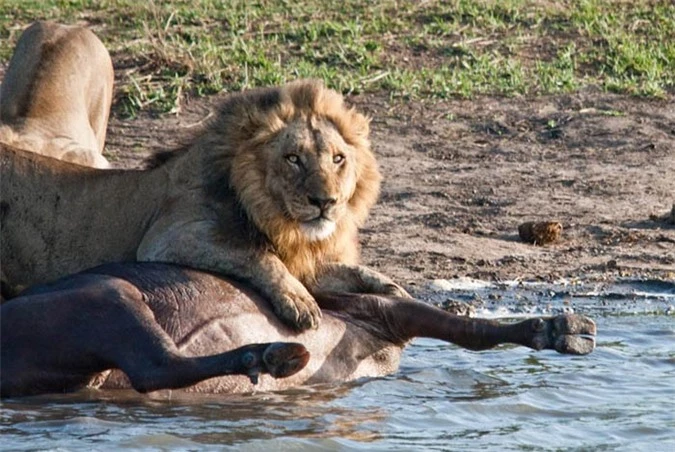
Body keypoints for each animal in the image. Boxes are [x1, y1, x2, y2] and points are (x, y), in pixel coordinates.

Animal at [0, 79, 406, 330]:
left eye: (338, 159)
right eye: (293, 159)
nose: (325, 202)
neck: (272, 217)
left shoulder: (301, 259)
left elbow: (344, 271)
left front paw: (389, 289)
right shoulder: (169, 238)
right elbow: (256, 255)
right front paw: (300, 303)